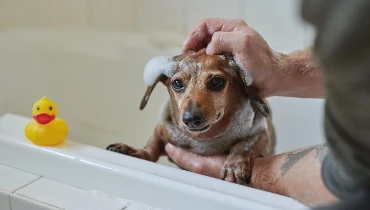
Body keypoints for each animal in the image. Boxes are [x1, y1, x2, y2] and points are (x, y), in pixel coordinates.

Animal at [107, 48, 274, 185]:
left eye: (217, 81)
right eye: (177, 83)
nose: (191, 119)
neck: (203, 139)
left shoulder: (261, 134)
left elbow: (243, 145)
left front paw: (234, 165)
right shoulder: (164, 130)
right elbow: (151, 148)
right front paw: (133, 150)